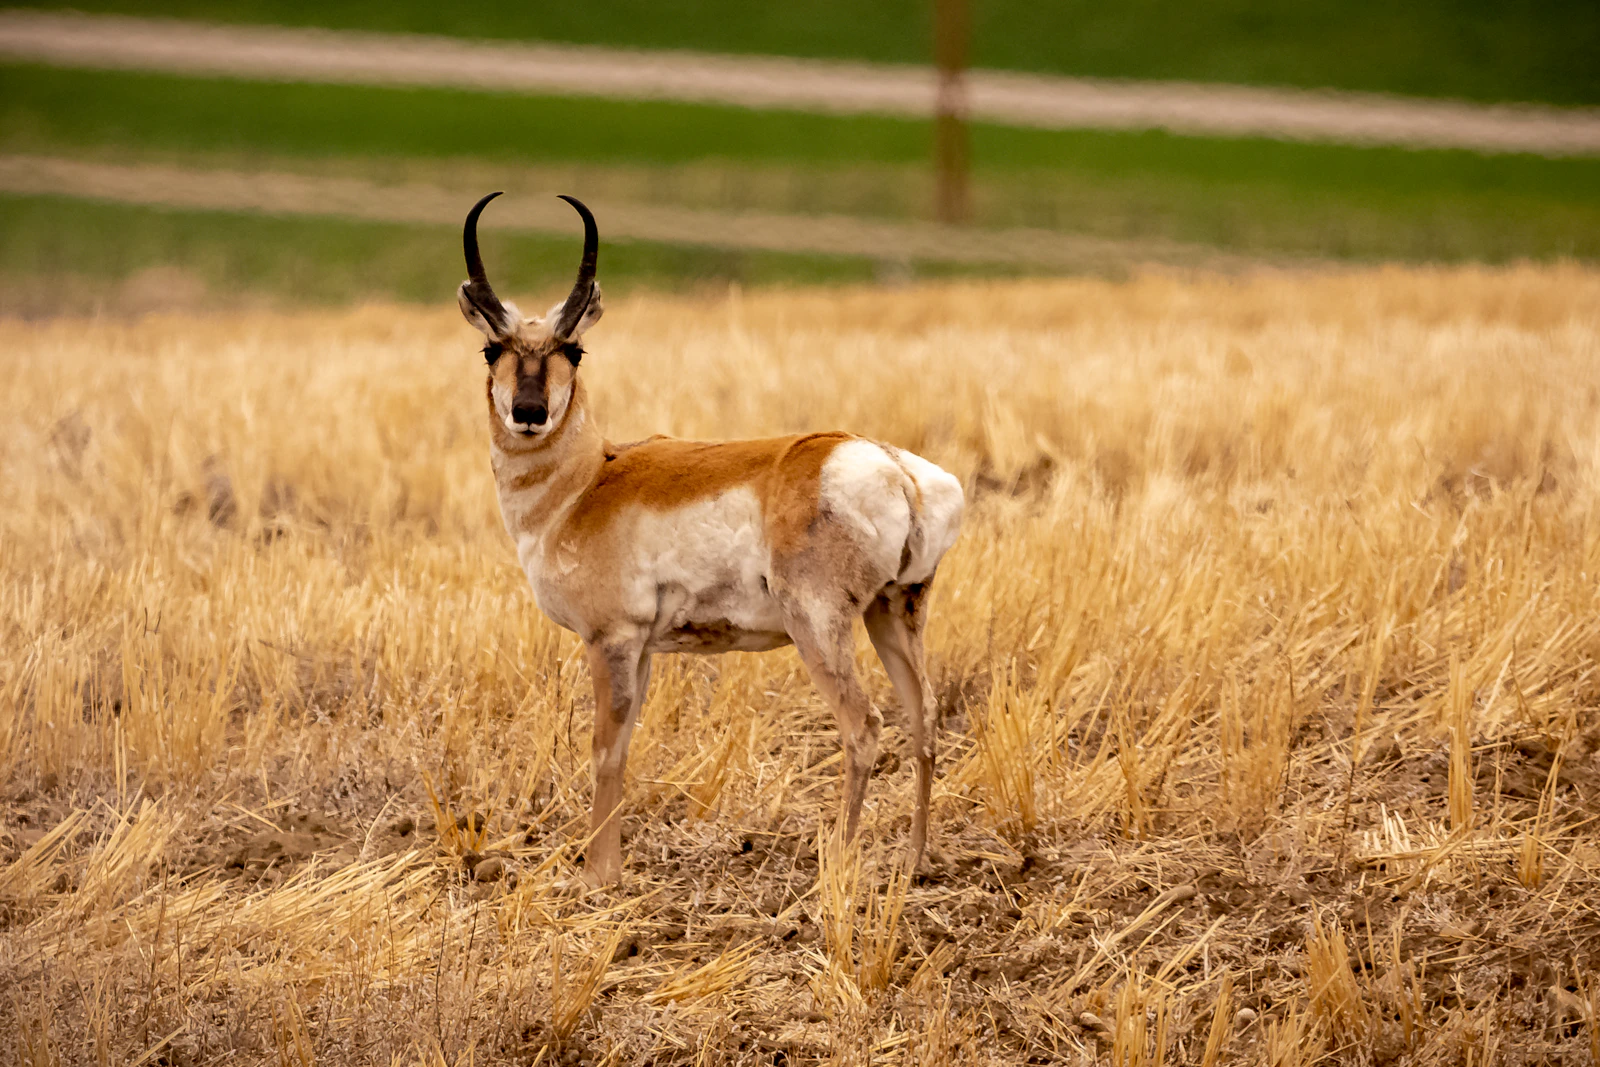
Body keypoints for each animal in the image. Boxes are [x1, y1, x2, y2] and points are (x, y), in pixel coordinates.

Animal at [457, 192, 964, 884]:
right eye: (492, 350)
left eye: (575, 350)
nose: (529, 413)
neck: (588, 480)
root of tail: (891, 466)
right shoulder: (642, 650)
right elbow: (624, 747)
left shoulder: (611, 641)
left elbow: (603, 750)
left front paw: (597, 878)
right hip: (894, 615)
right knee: (925, 718)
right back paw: (912, 864)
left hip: (820, 627)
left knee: (864, 726)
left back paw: (836, 864)